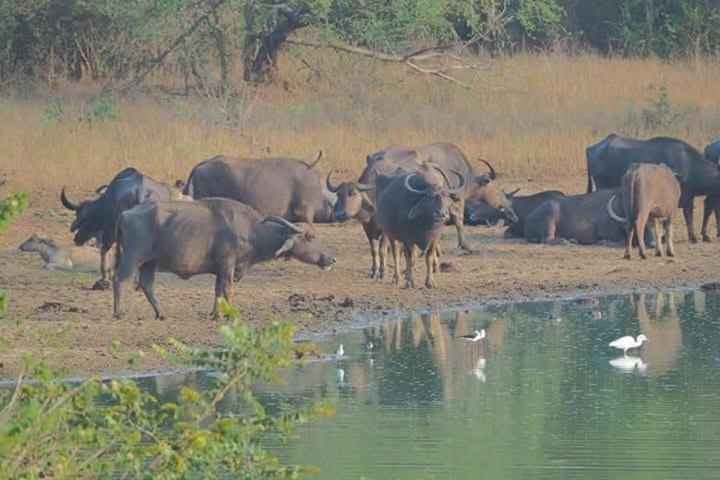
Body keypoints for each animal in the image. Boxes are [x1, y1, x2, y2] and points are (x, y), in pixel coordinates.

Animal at [113, 199, 338, 318]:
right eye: (310, 236)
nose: (331, 259)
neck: (251, 231)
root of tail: (125, 213)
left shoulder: (220, 269)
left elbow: (217, 291)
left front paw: (215, 314)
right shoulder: (227, 264)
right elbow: (228, 289)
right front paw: (229, 314)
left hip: (149, 263)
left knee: (146, 284)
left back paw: (161, 314)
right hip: (133, 258)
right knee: (120, 280)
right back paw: (118, 312)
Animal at [584, 133, 720, 242]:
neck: (689, 166)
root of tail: (591, 148)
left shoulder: (687, 199)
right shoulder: (685, 199)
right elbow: (689, 218)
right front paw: (693, 238)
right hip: (602, 186)